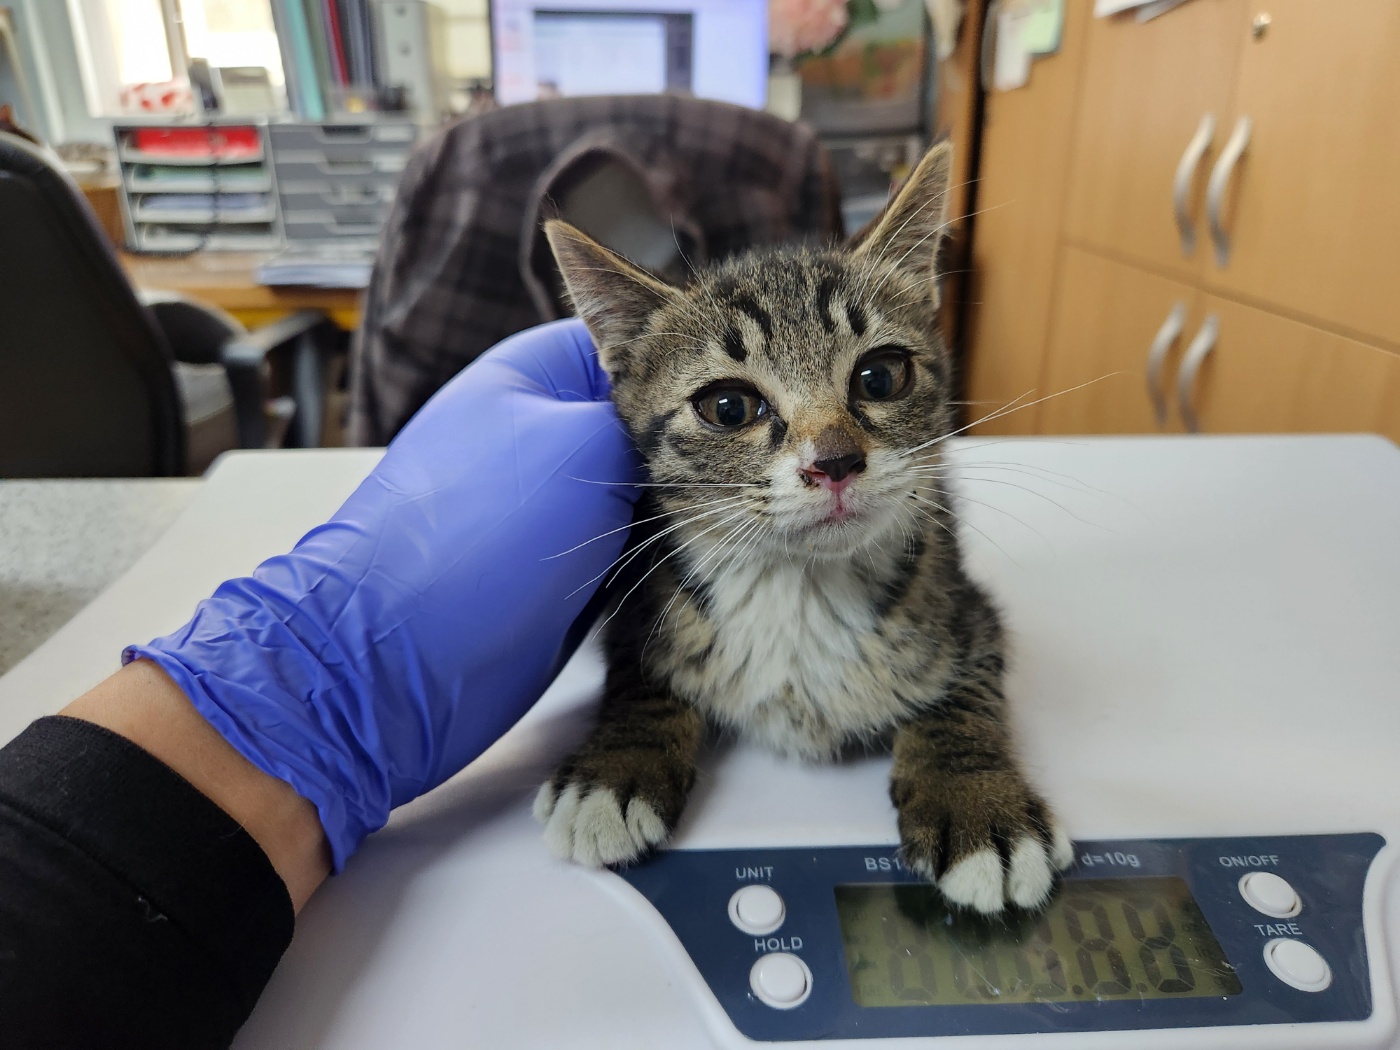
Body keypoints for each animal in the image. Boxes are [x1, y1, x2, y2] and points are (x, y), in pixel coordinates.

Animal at [534, 146, 1069, 912]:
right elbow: (637, 676)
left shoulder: (968, 605)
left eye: (881, 376)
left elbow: (966, 694)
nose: (836, 461)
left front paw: (980, 806)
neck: (797, 588)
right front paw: (611, 771)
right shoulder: (640, 594)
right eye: (729, 406)